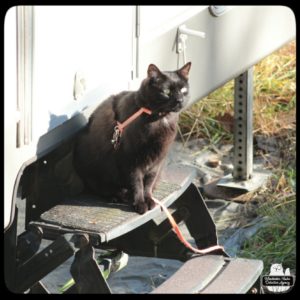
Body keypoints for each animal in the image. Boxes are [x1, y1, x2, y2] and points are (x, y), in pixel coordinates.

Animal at [75, 62, 192, 213]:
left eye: (183, 90)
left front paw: (148, 199)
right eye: (166, 91)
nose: (179, 100)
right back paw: (117, 196)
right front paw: (140, 203)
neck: (160, 119)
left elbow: (148, 183)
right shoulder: (131, 160)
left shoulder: (157, 161)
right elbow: (137, 183)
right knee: (100, 189)